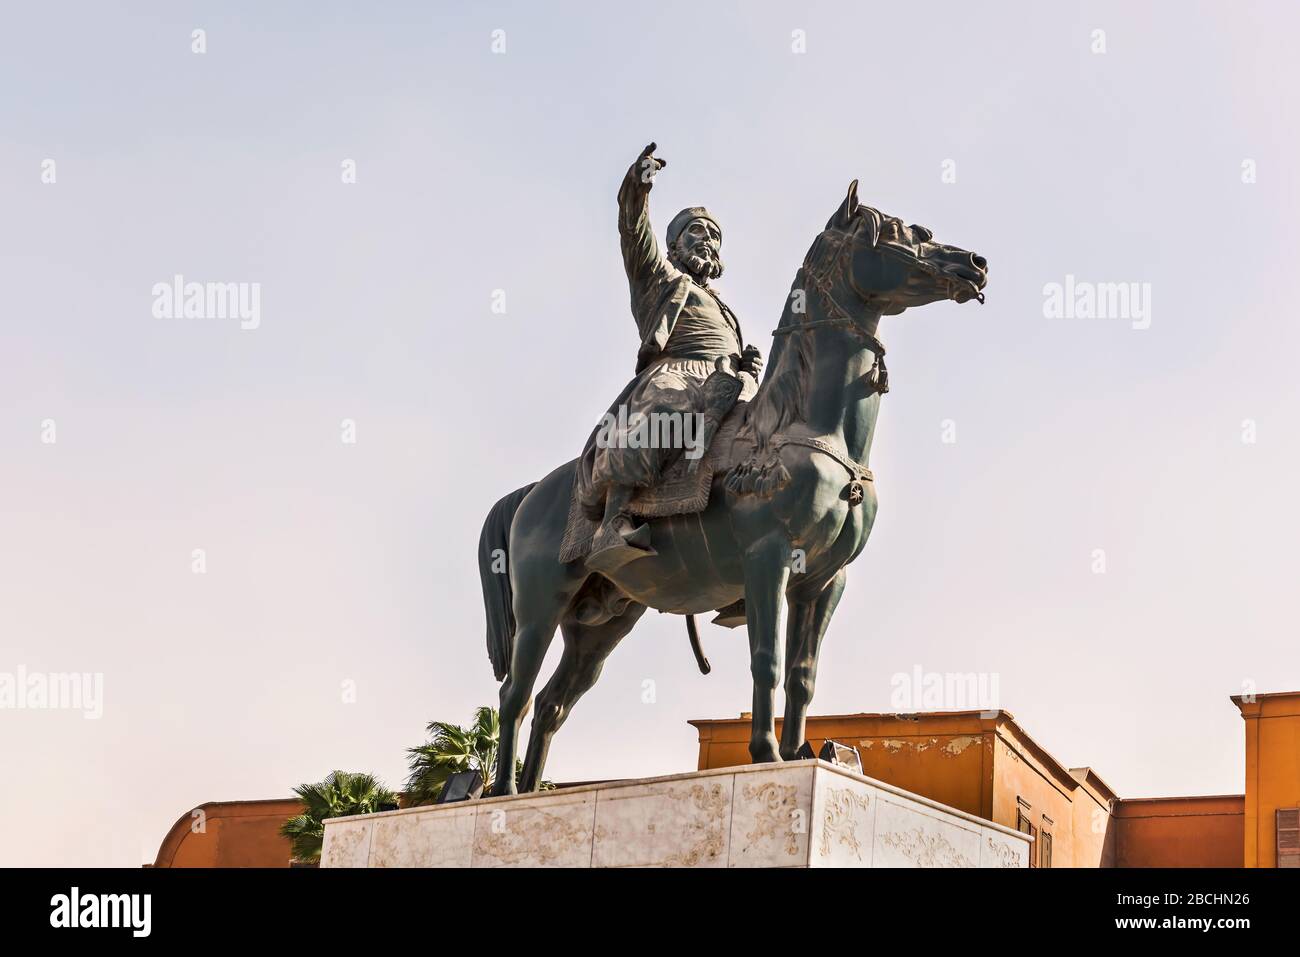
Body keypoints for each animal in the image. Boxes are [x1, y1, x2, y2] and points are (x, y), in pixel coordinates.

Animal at [478, 179, 982, 790]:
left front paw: (799, 753)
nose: (975, 265)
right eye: (906, 232)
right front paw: (765, 753)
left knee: (554, 704)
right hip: (541, 604)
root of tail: (532, 494)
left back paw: (529, 791)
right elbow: (766, 659)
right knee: (517, 694)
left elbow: (803, 675)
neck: (804, 425)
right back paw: (503, 793)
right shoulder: (768, 556)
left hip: (603, 620)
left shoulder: (824, 580)